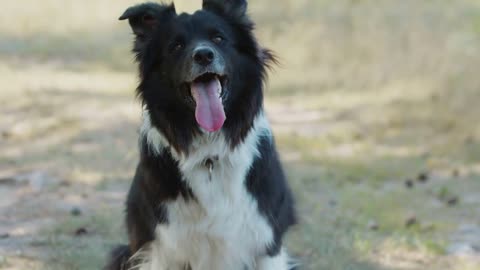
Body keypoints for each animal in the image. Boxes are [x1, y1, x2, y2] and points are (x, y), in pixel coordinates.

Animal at [107, 1, 298, 268]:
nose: (204, 55)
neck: (209, 153)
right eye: (176, 46)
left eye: (218, 38)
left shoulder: (265, 243)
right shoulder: (161, 248)